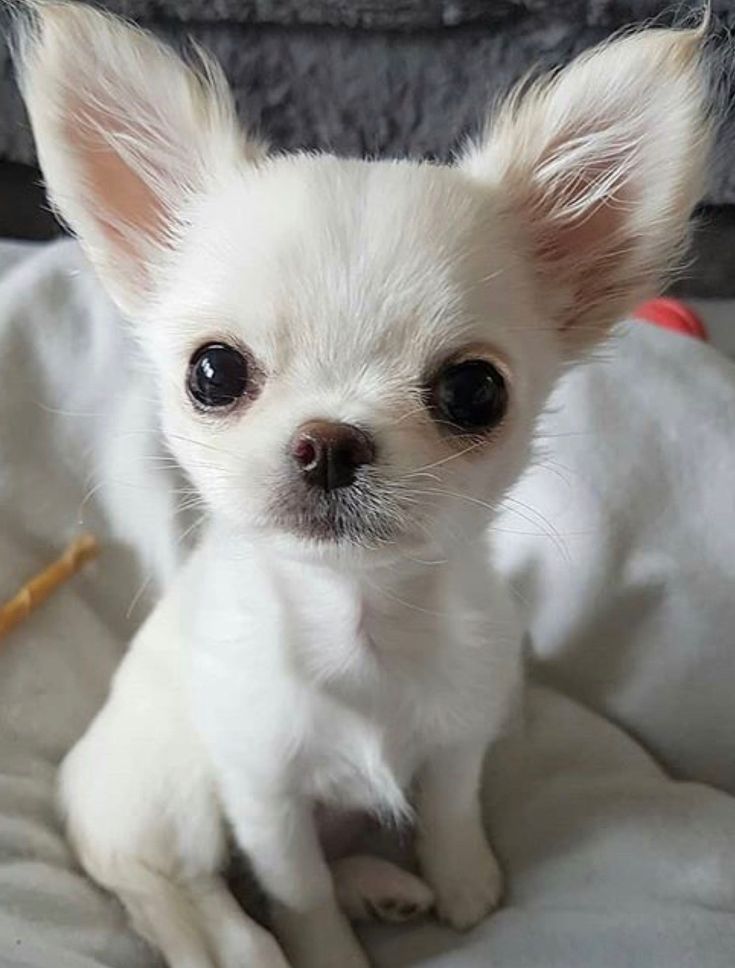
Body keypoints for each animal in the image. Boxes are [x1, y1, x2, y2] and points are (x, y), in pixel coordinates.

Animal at [14, 1, 712, 968]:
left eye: (474, 391)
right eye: (213, 373)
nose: (329, 443)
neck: (359, 622)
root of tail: (75, 785)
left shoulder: (459, 737)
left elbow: (451, 813)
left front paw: (465, 887)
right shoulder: (263, 795)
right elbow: (298, 892)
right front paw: (329, 954)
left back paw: (384, 885)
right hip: (170, 790)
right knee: (168, 885)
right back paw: (234, 944)